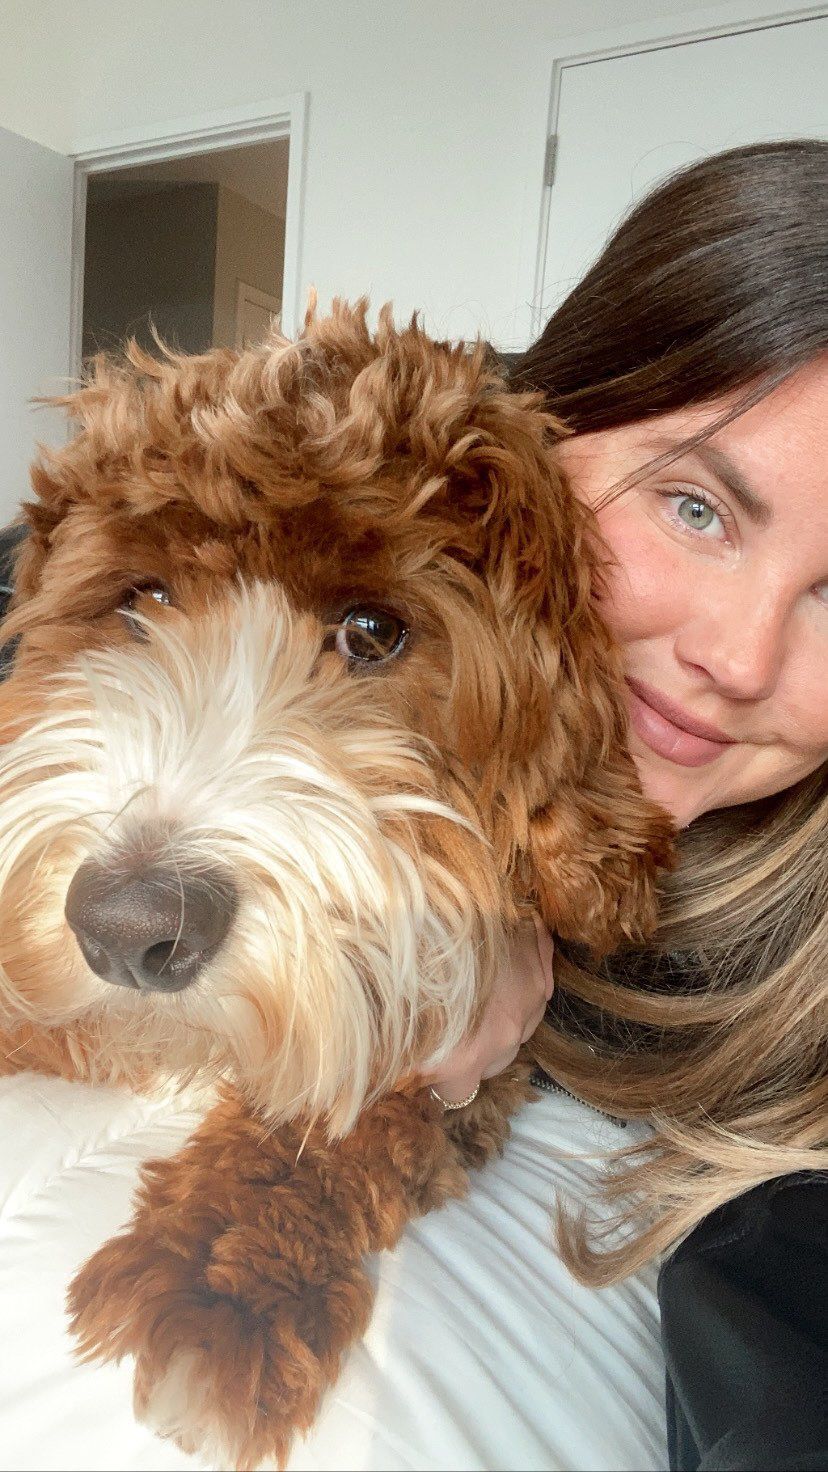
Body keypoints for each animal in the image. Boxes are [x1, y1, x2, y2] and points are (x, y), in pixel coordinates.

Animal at [0, 301, 671, 1472]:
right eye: (143, 599)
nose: (127, 926)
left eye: (372, 632)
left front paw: (212, 1285)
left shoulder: (467, 1028)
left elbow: (337, 1121)